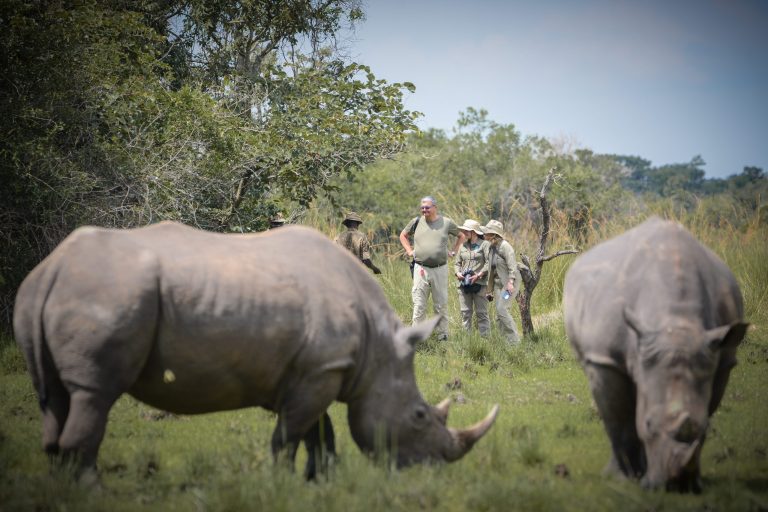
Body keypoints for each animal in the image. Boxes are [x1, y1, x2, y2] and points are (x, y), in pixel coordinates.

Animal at [13, 222, 498, 480]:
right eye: (418, 417)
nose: (432, 469)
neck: (377, 351)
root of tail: (51, 269)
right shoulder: (321, 370)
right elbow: (288, 436)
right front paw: (283, 483)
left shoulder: (317, 369)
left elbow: (319, 432)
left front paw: (319, 482)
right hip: (109, 293)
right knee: (94, 393)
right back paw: (90, 489)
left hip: (56, 294)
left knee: (56, 398)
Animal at [563, 217, 748, 492]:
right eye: (649, 424)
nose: (675, 486)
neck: (676, 323)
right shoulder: (605, 359)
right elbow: (620, 420)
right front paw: (624, 478)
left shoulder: (721, 358)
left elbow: (705, 408)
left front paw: (694, 480)